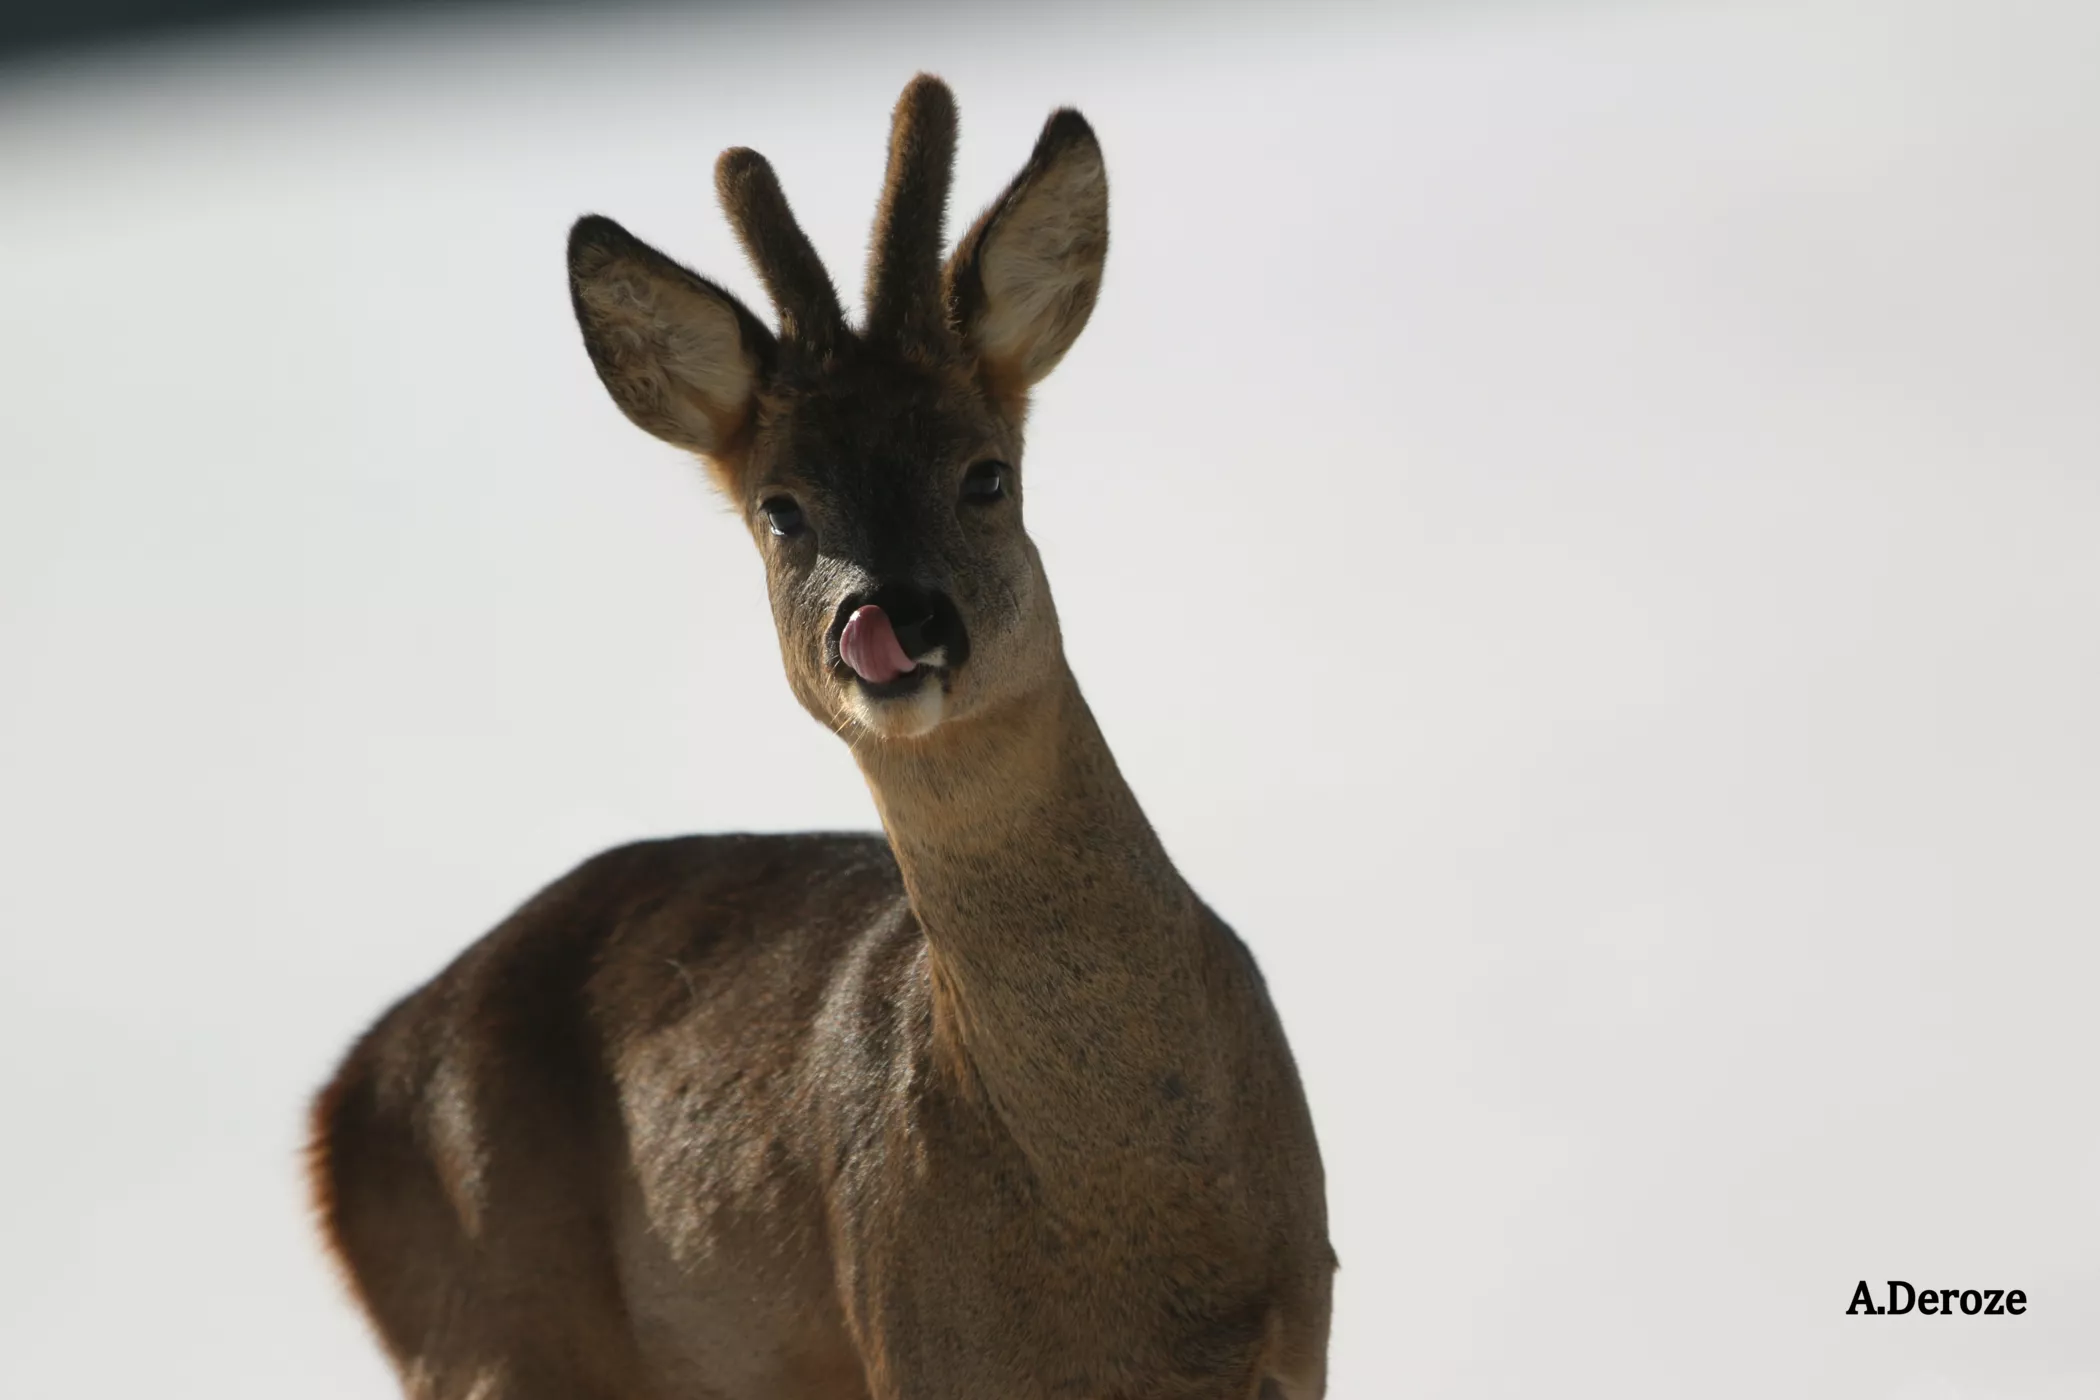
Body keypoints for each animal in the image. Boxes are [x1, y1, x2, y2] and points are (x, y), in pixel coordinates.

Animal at [306, 73, 1327, 1400]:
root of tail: (341, 1099)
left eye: (986, 474)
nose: (890, 618)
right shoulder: (915, 1341)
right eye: (782, 509)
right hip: (491, 1331)